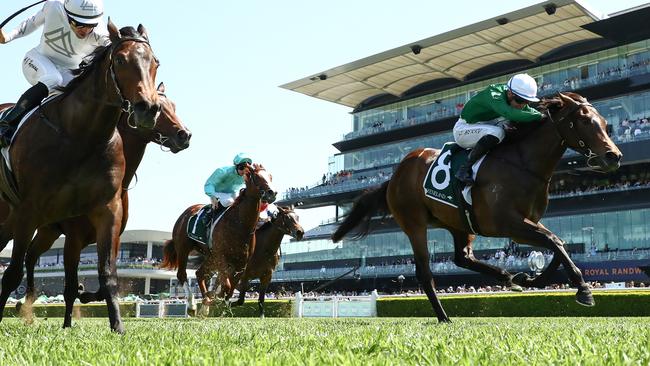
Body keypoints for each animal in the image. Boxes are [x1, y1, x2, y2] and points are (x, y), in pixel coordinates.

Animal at [0, 21, 159, 334]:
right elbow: (12, 273)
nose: (147, 108)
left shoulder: (107, 211)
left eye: (155, 62)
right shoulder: (30, 210)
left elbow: (107, 274)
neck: (82, 136)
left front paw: (118, 327)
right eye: (120, 60)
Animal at [12, 83, 190, 328]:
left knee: (31, 255)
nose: (184, 135)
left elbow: (104, 277)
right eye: (159, 109)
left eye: (173, 106)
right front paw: (67, 322)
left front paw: (85, 293)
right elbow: (69, 287)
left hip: (48, 231)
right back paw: (27, 301)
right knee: (29, 256)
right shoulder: (74, 238)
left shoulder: (112, 234)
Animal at [332, 93, 620, 322]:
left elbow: (558, 243)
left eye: (605, 123)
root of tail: (394, 176)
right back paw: (444, 317)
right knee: (425, 273)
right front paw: (584, 290)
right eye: (585, 121)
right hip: (414, 224)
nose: (613, 156)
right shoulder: (509, 224)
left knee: (462, 258)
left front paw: (529, 279)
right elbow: (554, 241)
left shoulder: (527, 222)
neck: (523, 164)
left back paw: (506, 278)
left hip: (459, 223)